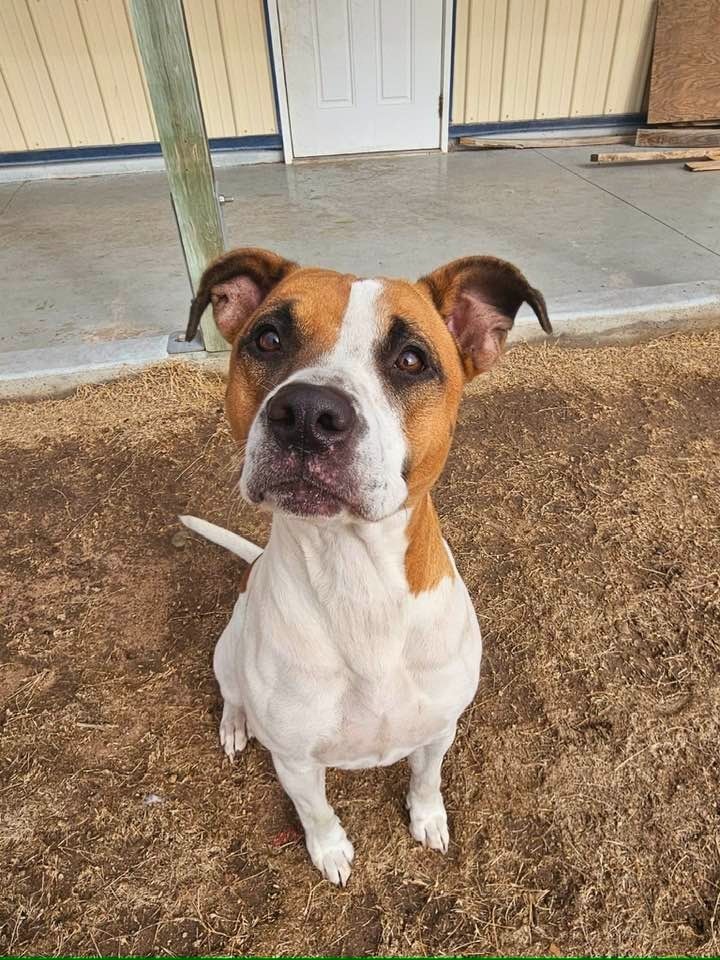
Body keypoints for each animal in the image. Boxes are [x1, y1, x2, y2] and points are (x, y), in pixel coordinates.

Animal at [181, 248, 552, 884]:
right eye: (268, 338)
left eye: (411, 359)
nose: (307, 413)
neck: (358, 578)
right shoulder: (295, 761)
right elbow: (316, 812)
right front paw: (330, 851)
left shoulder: (439, 730)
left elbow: (426, 780)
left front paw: (427, 819)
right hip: (227, 650)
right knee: (231, 690)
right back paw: (234, 723)